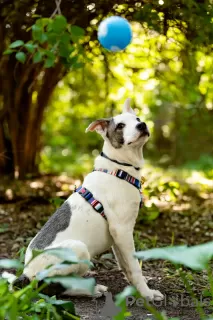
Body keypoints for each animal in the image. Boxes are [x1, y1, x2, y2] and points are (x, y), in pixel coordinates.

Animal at [16, 99, 163, 302]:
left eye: (138, 119)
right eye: (120, 126)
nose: (142, 125)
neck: (120, 168)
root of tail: (26, 274)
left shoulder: (118, 236)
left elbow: (126, 265)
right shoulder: (122, 229)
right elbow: (134, 266)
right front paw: (146, 293)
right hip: (78, 249)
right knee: (54, 288)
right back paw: (91, 291)